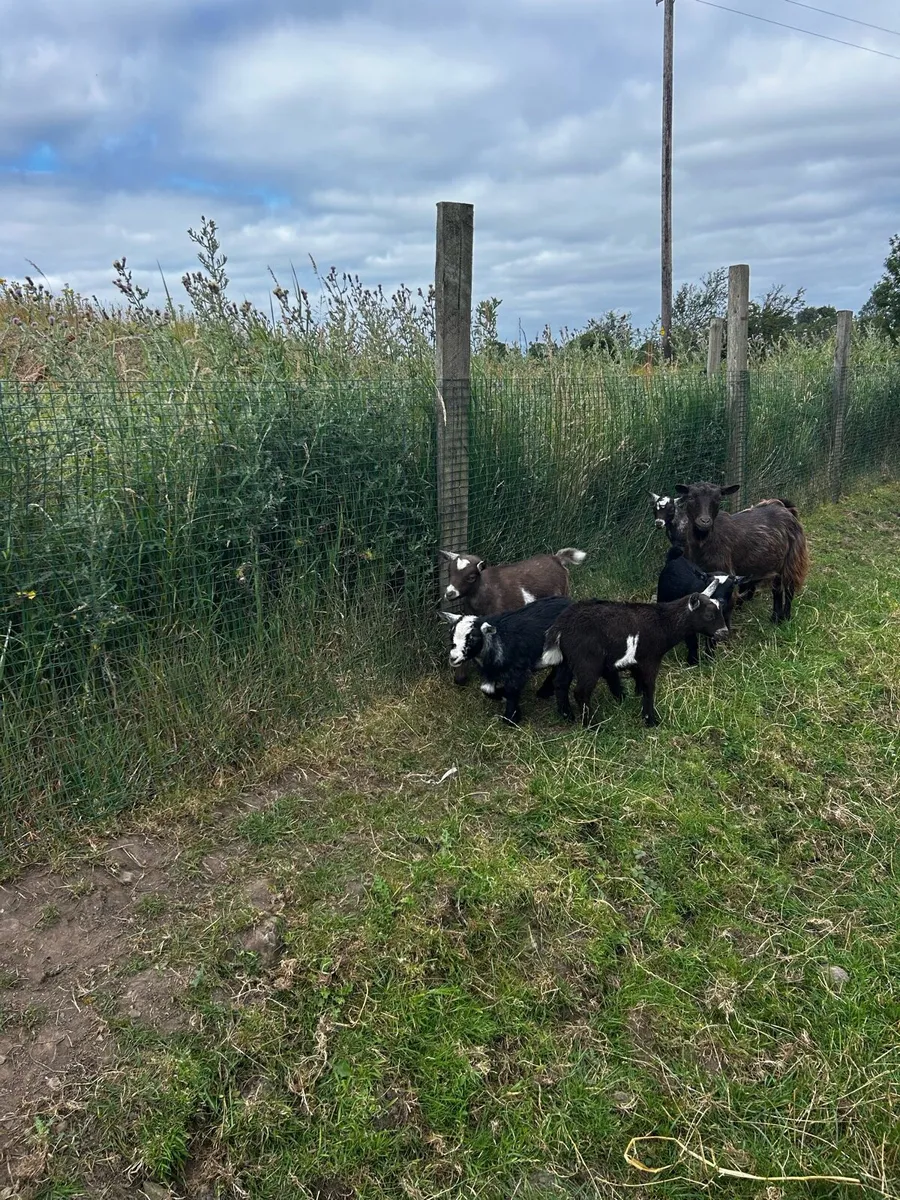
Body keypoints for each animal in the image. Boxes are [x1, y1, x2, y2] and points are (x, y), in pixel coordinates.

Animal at [438, 596, 572, 725]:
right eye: (451, 635)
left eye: (472, 638)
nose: (453, 658)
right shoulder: (489, 671)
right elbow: (486, 689)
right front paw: (501, 696)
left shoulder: (518, 669)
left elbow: (512, 690)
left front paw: (511, 718)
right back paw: (544, 692)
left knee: (562, 680)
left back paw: (564, 712)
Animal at [541, 586, 729, 727]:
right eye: (709, 615)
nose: (723, 633)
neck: (663, 623)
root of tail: (561, 626)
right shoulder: (650, 659)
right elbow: (649, 687)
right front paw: (650, 720)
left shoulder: (637, 661)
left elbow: (638, 680)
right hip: (587, 661)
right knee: (580, 692)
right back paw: (592, 725)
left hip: (567, 659)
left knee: (560, 684)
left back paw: (567, 716)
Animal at [675, 482, 809, 623]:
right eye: (690, 497)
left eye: (718, 499)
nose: (705, 521)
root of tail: (784, 508)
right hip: (776, 562)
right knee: (777, 589)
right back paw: (775, 618)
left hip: (793, 558)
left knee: (789, 588)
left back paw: (786, 617)